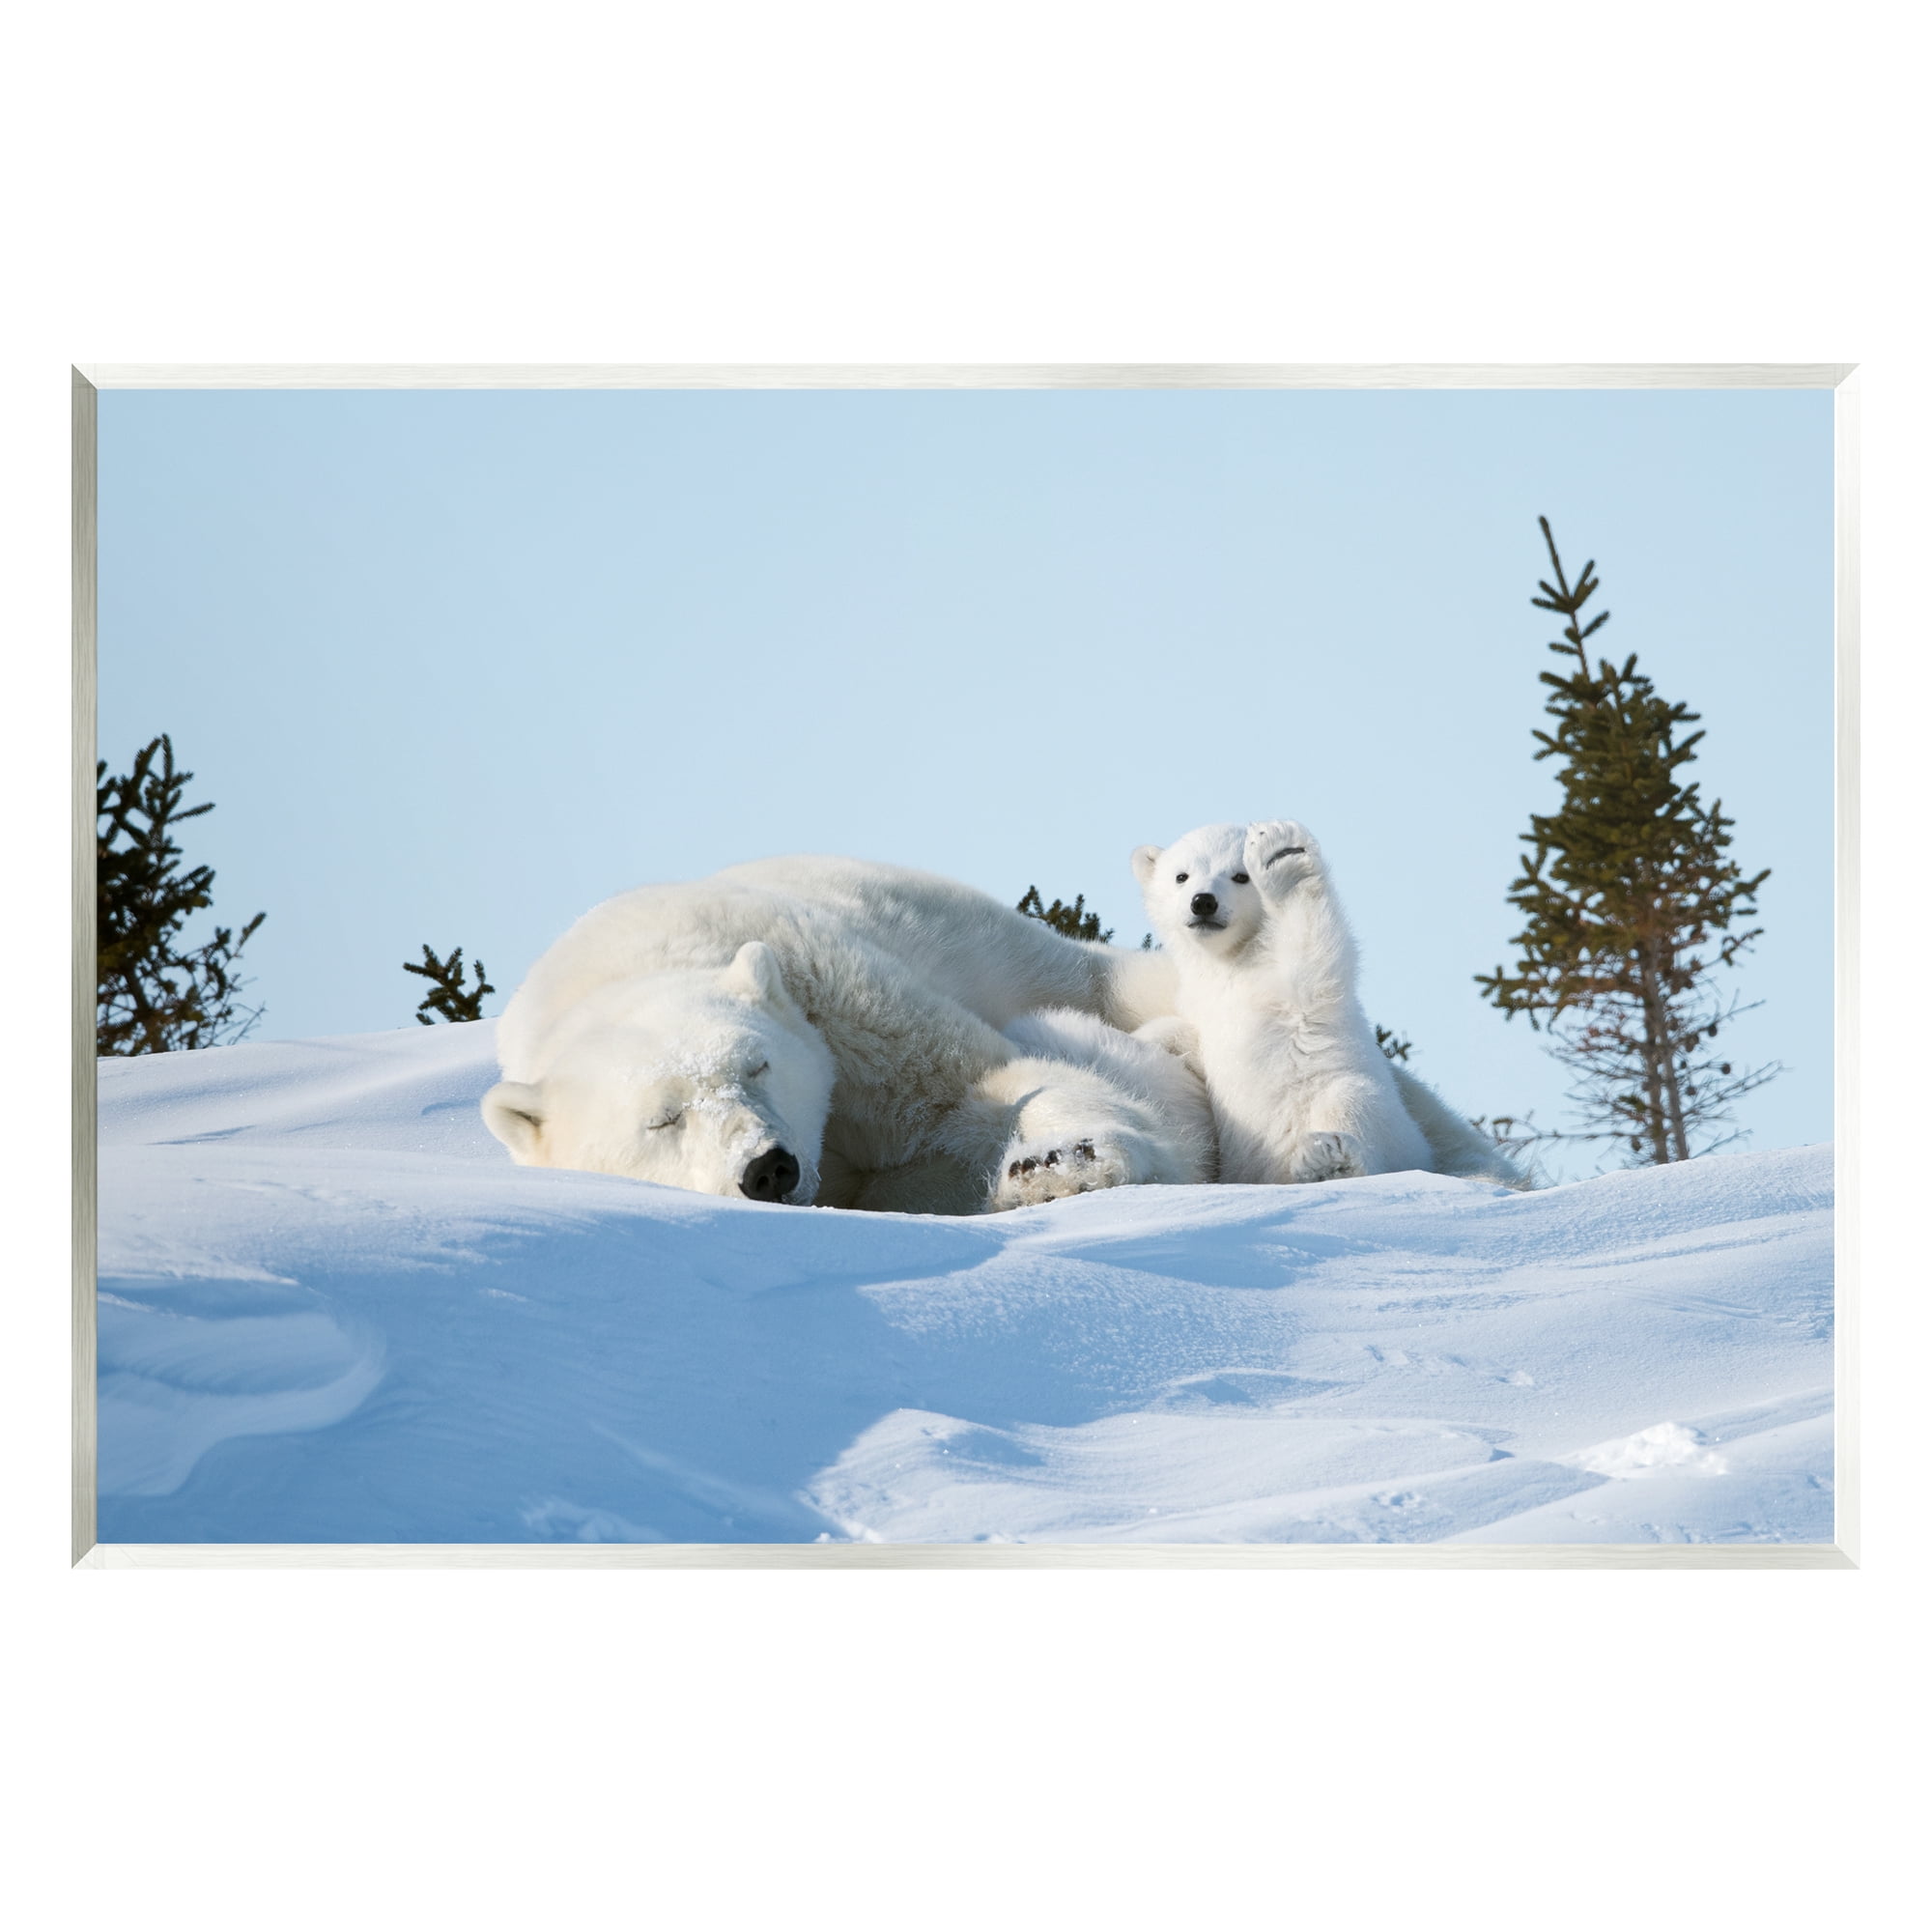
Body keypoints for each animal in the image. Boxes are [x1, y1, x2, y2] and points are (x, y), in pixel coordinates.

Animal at [482, 855, 1207, 1215]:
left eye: (758, 1065)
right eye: (662, 1120)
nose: (767, 1169)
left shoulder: (830, 992)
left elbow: (977, 1083)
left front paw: (1066, 1163)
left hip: (1022, 953)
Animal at [1132, 819, 1527, 1188]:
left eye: (1240, 876)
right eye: (1181, 875)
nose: (1203, 902)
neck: (1232, 961)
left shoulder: (1290, 986)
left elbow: (1311, 952)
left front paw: (1282, 857)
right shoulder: (1200, 1004)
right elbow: (1185, 1035)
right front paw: (1145, 1041)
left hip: (1381, 1120)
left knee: (1353, 1105)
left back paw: (1329, 1159)